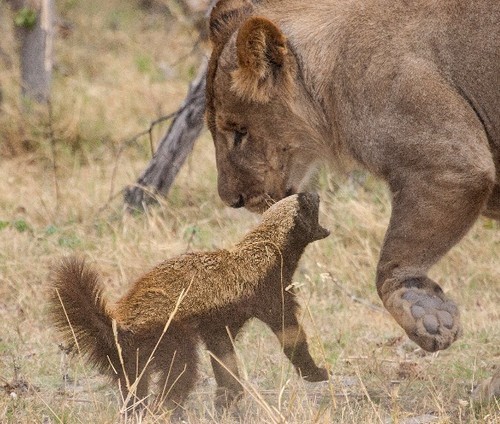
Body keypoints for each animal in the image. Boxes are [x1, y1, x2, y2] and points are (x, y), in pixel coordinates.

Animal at [48, 192, 330, 414]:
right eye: (308, 202)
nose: (315, 192)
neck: (269, 246)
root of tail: (117, 324)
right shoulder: (270, 292)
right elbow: (290, 334)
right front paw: (317, 372)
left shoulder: (218, 324)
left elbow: (224, 357)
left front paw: (228, 398)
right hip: (168, 335)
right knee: (180, 372)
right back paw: (166, 410)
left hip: (131, 360)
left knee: (134, 390)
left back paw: (137, 411)